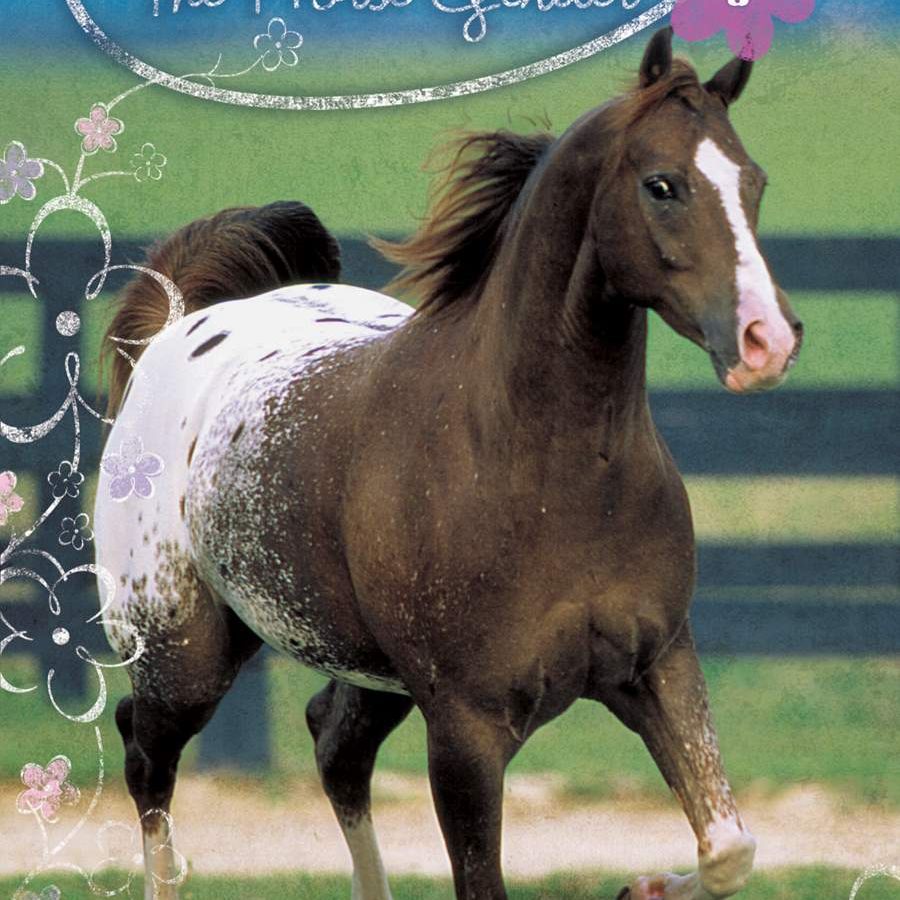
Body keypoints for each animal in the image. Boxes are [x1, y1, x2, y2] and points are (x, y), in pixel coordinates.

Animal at [94, 27, 803, 900]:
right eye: (662, 184)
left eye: (754, 181)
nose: (768, 340)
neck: (545, 475)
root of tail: (176, 328)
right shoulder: (466, 729)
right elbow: (480, 878)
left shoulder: (658, 664)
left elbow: (729, 846)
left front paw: (641, 886)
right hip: (183, 656)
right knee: (145, 754)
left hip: (369, 672)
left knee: (335, 746)